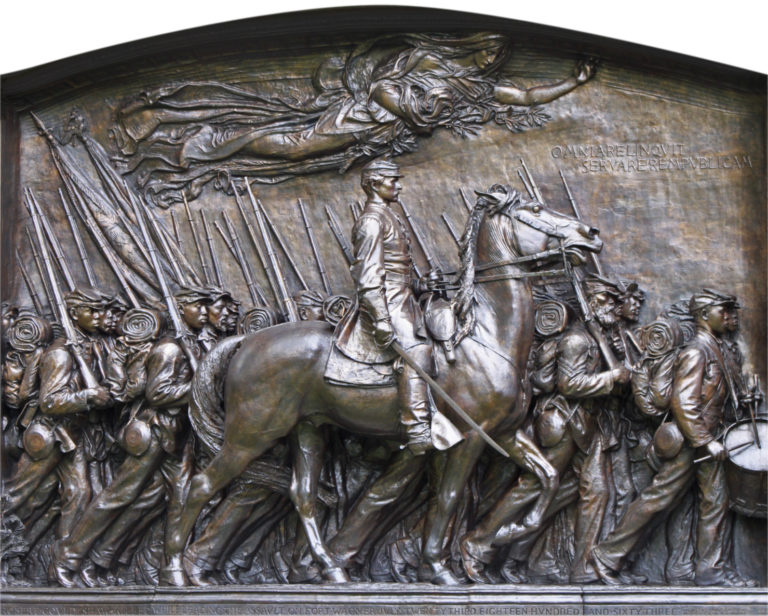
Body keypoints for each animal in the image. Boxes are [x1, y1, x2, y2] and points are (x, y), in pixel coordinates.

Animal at [166, 183, 600, 584]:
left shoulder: (505, 433)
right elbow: (448, 499)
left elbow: (547, 475)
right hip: (250, 435)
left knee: (302, 496)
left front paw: (504, 534)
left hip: (307, 430)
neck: (486, 335)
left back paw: (330, 568)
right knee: (201, 486)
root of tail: (247, 342)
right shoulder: (471, 438)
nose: (591, 232)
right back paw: (178, 570)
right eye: (536, 209)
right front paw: (439, 567)